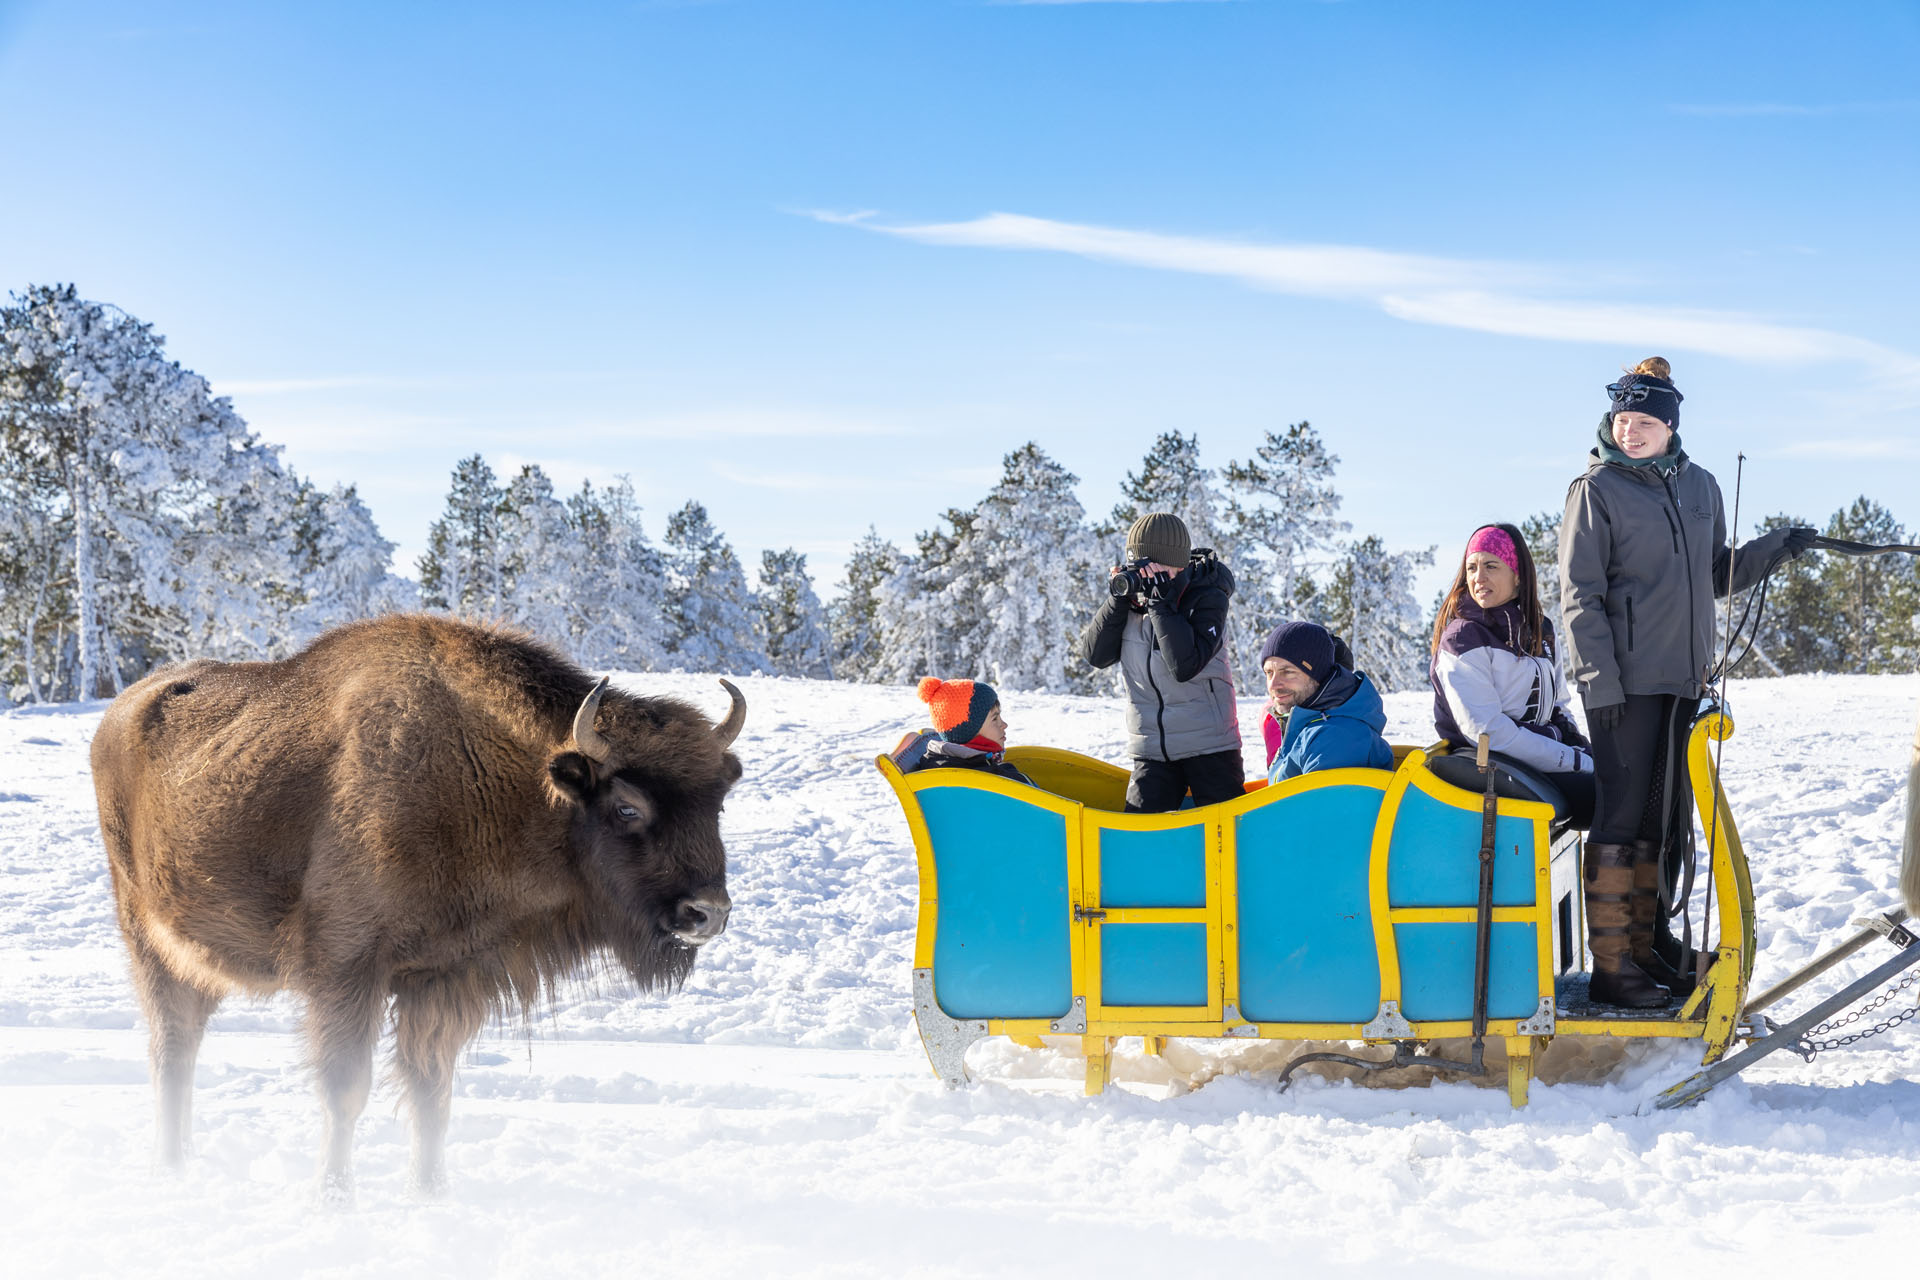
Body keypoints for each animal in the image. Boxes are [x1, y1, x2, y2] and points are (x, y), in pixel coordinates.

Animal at [89, 614, 745, 1198]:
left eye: (717, 801)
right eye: (627, 806)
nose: (707, 913)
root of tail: (120, 714)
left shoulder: (442, 975)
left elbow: (432, 1091)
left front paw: (430, 1192)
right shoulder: (348, 972)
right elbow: (346, 1089)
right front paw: (334, 1197)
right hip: (149, 941)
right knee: (172, 1049)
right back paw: (171, 1167)